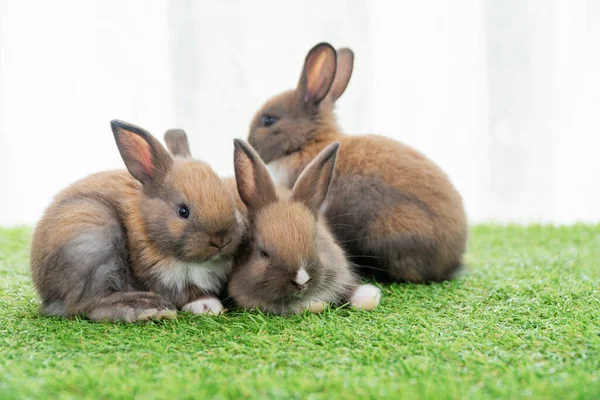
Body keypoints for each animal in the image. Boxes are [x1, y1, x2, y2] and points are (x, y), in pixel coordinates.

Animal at [29, 119, 246, 322]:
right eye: (183, 211)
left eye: (231, 200)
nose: (221, 240)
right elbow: (188, 294)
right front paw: (208, 306)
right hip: (91, 239)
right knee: (86, 304)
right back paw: (148, 308)